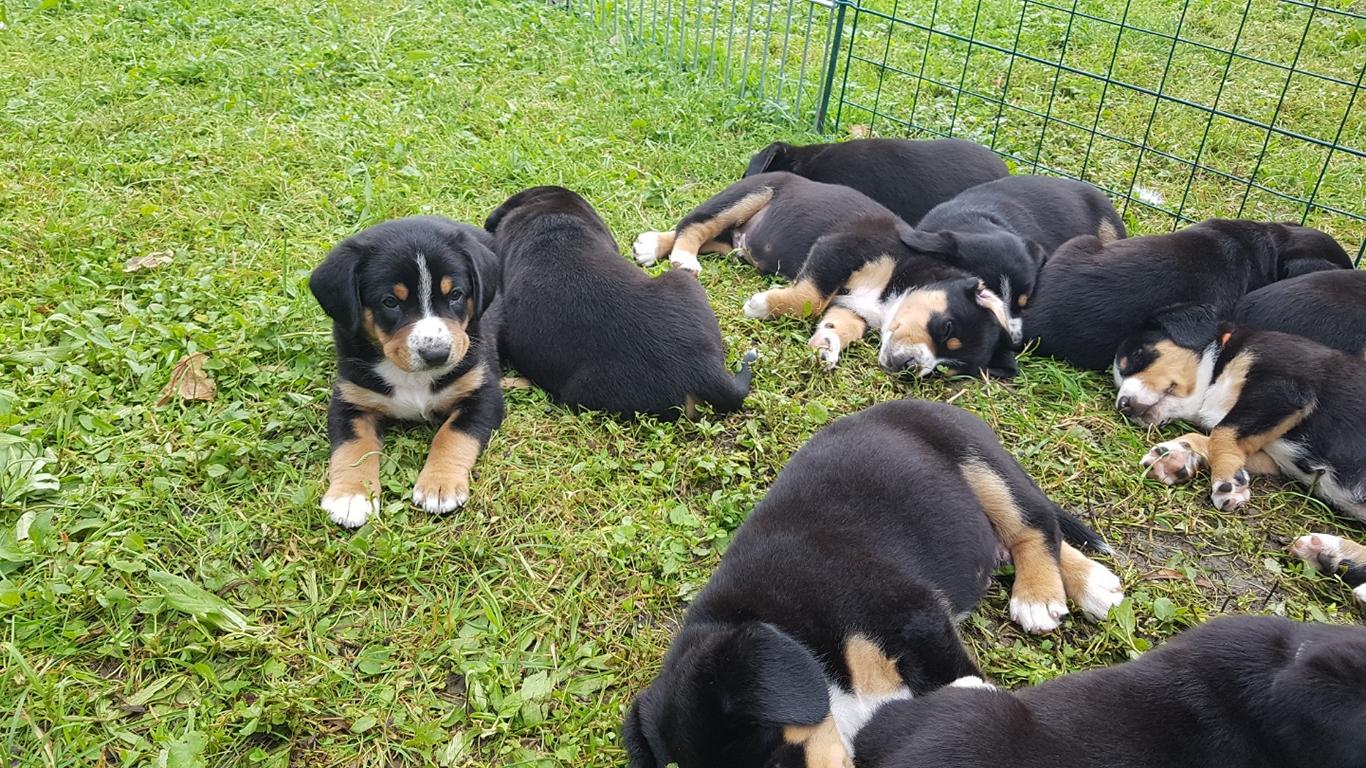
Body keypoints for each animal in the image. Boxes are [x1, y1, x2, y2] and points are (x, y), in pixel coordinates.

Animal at [310, 216, 504, 529]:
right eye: (390, 301)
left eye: (456, 295)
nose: (437, 354)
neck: (412, 377)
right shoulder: (351, 400)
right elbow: (353, 447)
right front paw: (351, 497)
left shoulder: (482, 392)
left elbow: (453, 435)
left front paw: (439, 486)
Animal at [623, 400, 1124, 768]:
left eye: (777, 766)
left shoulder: (912, 617)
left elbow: (955, 680)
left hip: (978, 460)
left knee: (1033, 522)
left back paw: (1045, 592)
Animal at [741, 213, 1020, 377]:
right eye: (947, 328)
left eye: (942, 369)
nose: (911, 369)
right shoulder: (838, 249)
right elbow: (814, 297)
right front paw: (760, 305)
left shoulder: (852, 308)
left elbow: (840, 324)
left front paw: (826, 346)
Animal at [1112, 319, 1366, 518]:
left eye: (1138, 353)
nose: (1123, 405)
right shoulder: (1273, 458)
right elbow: (1214, 437)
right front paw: (1173, 456)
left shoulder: (1285, 389)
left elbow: (1222, 432)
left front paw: (1228, 481)